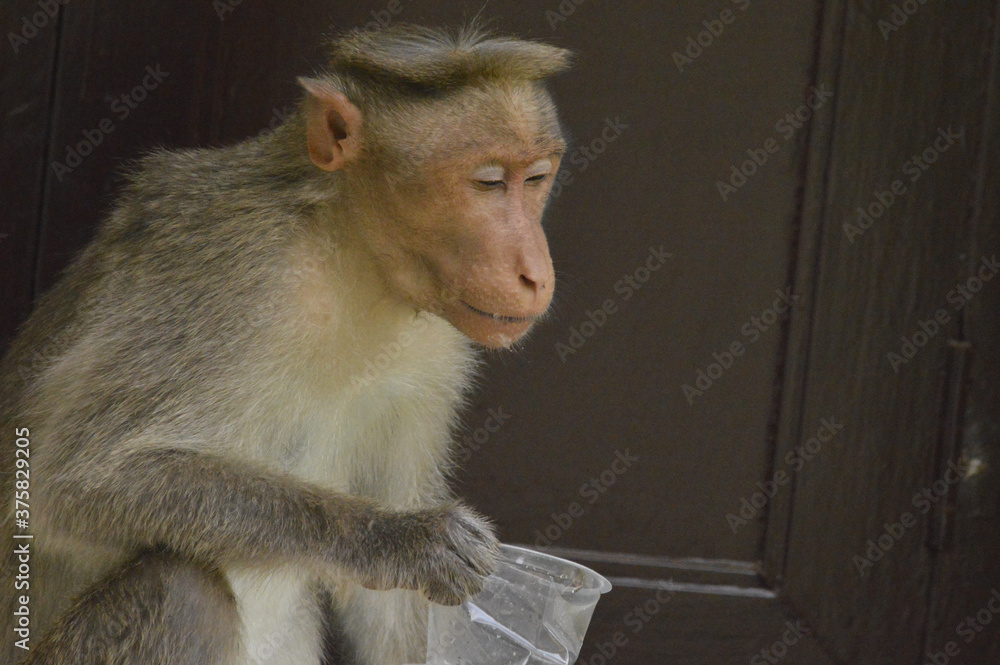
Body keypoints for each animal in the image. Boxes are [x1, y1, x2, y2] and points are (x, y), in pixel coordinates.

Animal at [0, 23, 576, 660]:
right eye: (489, 182)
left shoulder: (438, 351)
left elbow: (387, 610)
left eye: (536, 179)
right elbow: (74, 483)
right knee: (181, 589)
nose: (535, 273)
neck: (354, 261)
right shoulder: (234, 270)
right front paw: (404, 539)